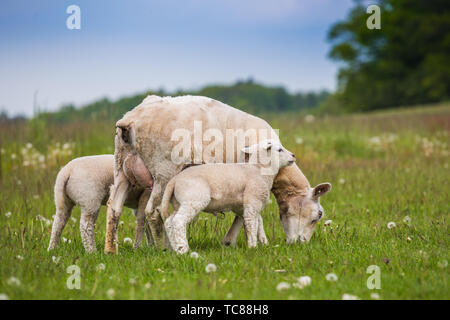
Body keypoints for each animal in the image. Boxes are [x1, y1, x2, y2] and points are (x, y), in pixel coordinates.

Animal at [161, 139, 296, 254]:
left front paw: (264, 242)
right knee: (178, 221)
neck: (258, 170)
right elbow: (252, 223)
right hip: (193, 199)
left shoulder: (244, 205)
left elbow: (258, 221)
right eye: (279, 150)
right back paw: (183, 249)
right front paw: (253, 247)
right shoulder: (253, 199)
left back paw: (175, 247)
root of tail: (174, 180)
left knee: (169, 222)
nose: (293, 155)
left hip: (179, 203)